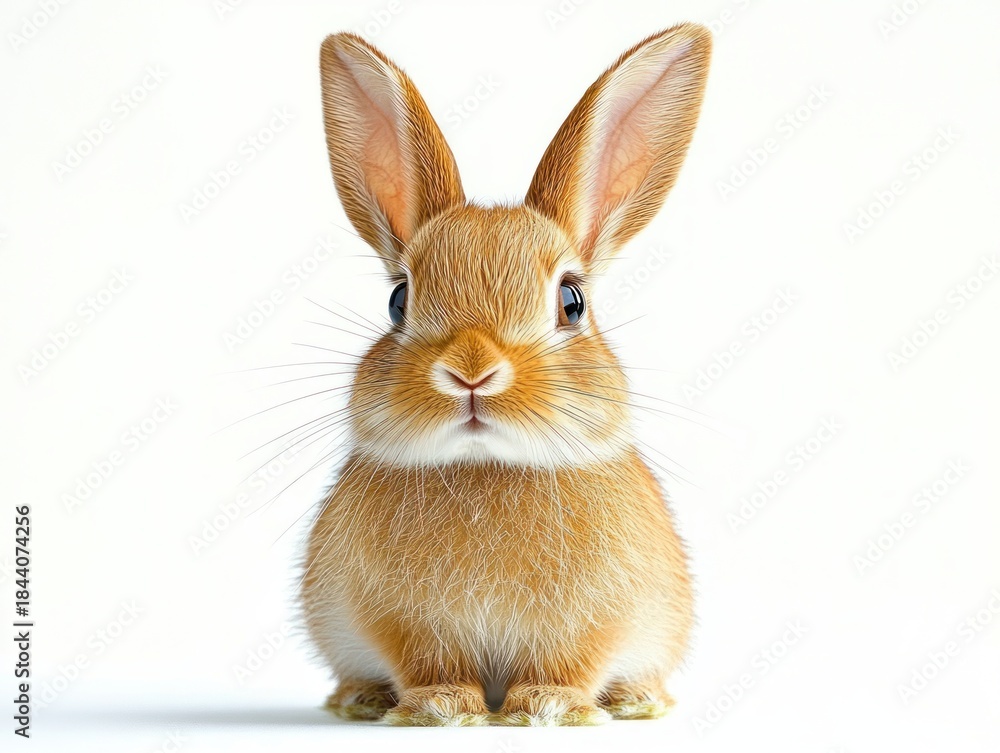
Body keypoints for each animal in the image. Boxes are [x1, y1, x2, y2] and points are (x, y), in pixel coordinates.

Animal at [301, 22, 712, 727]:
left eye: (572, 301)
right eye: (398, 301)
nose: (471, 372)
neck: (485, 464)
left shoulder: (593, 621)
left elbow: (570, 662)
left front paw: (546, 708)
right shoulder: (405, 625)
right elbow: (428, 663)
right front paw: (441, 708)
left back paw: (636, 701)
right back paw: (361, 699)